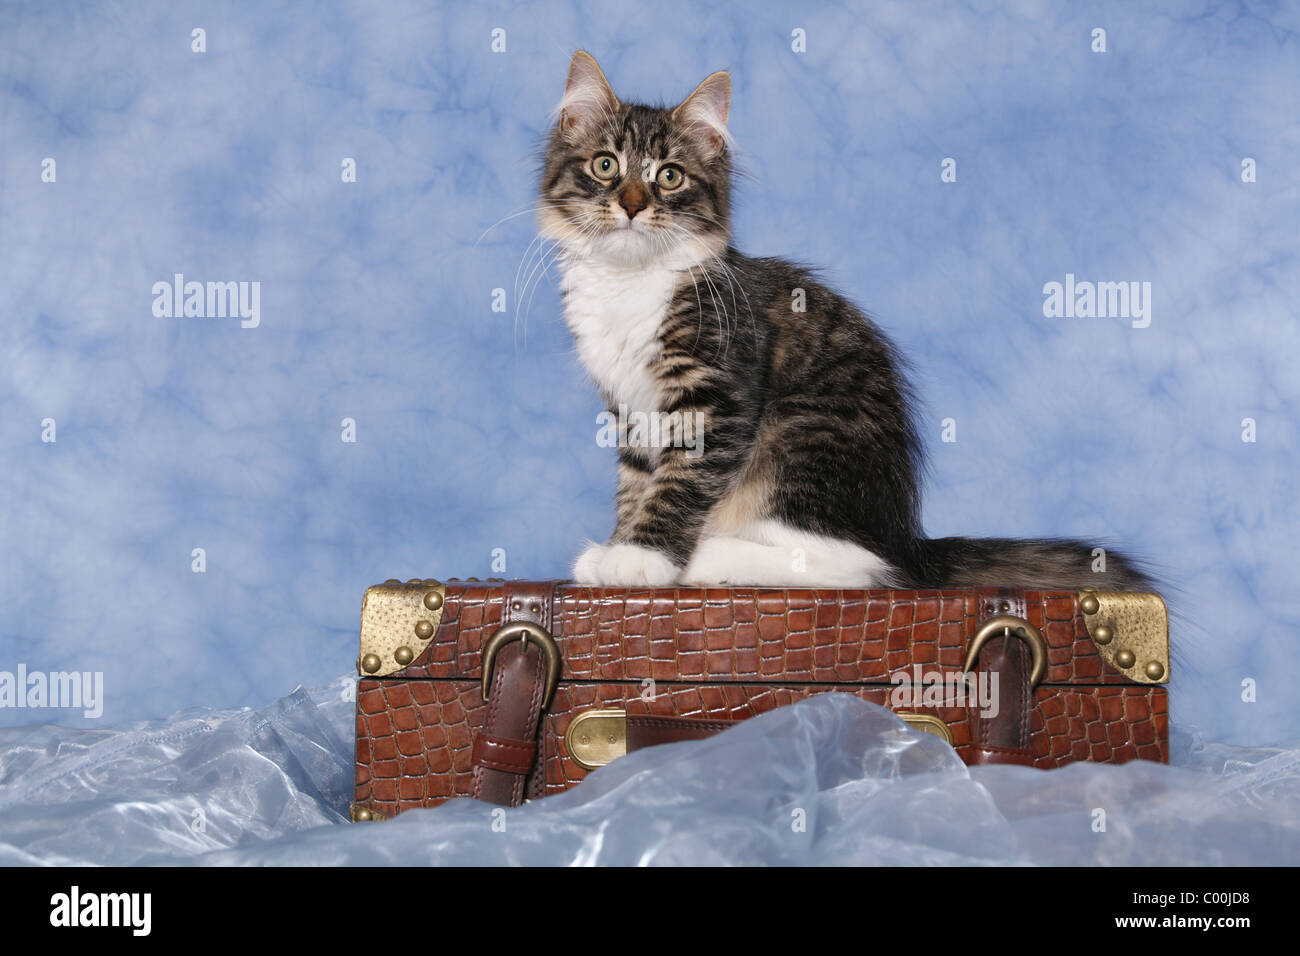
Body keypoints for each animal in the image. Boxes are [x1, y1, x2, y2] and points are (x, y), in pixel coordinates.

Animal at [538, 52, 1149, 595]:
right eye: (605, 166)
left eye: (668, 176)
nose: (633, 205)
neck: (629, 283)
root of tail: (911, 541)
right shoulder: (629, 407)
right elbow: (637, 482)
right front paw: (615, 546)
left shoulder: (715, 397)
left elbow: (677, 484)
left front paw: (643, 558)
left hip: (800, 434)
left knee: (862, 566)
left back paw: (712, 556)